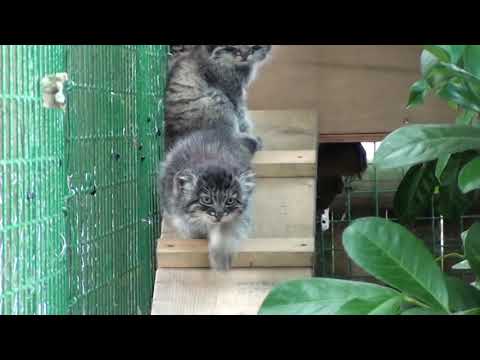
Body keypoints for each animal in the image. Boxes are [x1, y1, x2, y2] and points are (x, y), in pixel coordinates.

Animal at [158, 128, 256, 272]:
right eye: (206, 199)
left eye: (230, 201)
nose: (219, 215)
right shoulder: (177, 214)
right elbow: (189, 229)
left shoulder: (238, 216)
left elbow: (226, 230)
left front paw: (220, 256)